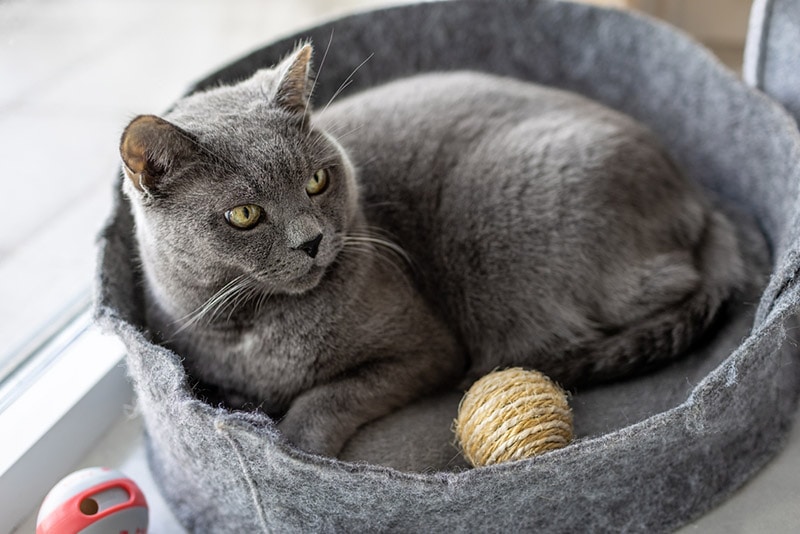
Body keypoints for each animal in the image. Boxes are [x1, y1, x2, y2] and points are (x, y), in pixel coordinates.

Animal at [117, 44, 744, 458]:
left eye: (318, 181)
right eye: (244, 215)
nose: (312, 240)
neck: (256, 329)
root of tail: (693, 192)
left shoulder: (425, 350)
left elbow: (329, 396)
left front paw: (295, 449)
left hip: (492, 220)